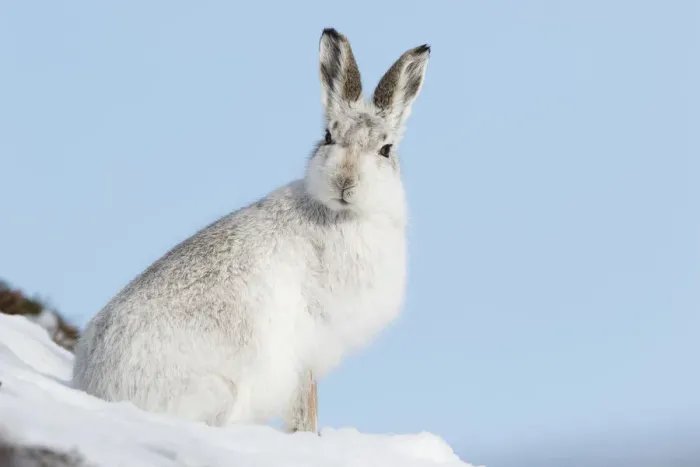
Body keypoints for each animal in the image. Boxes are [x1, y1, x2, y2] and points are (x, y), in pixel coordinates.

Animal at [72, 28, 430, 433]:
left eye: (385, 149)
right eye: (328, 136)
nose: (344, 182)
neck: (342, 215)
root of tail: (93, 386)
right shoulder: (307, 352)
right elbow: (305, 406)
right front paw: (309, 437)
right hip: (217, 392)